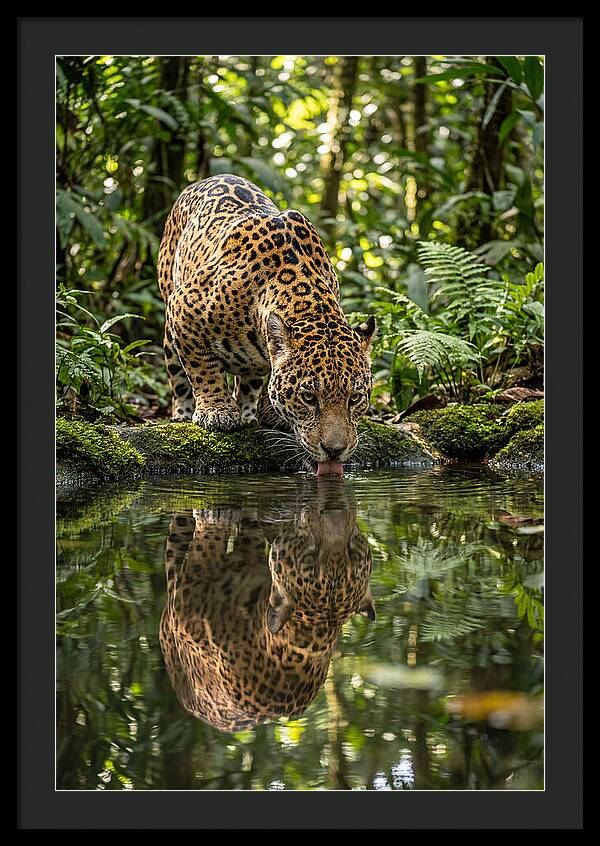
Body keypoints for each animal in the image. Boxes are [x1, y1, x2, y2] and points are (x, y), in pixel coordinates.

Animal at [157, 174, 376, 474]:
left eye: (354, 398)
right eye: (309, 398)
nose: (334, 451)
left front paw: (271, 412)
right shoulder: (183, 308)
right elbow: (202, 369)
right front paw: (217, 411)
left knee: (248, 379)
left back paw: (249, 412)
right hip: (169, 315)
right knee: (178, 375)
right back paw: (182, 413)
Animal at [158, 482, 374, 732]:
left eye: (352, 552)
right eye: (311, 556)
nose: (335, 510)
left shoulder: (186, 603)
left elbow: (208, 543)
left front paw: (215, 516)